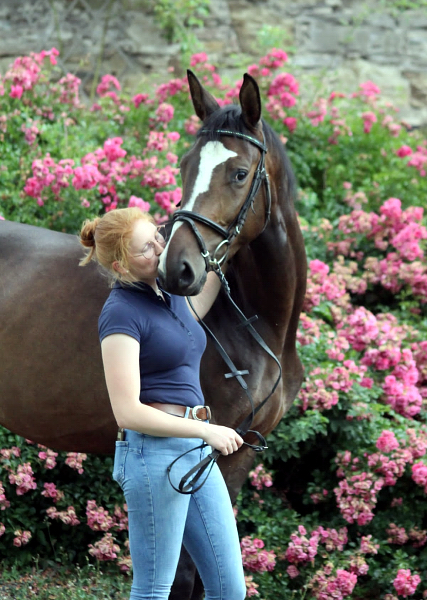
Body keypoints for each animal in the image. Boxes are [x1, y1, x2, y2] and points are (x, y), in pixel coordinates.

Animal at [0, 69, 308, 596]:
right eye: (185, 165)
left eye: (239, 173)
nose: (177, 270)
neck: (258, 325)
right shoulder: (199, 461)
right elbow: (185, 577)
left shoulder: (234, 458)